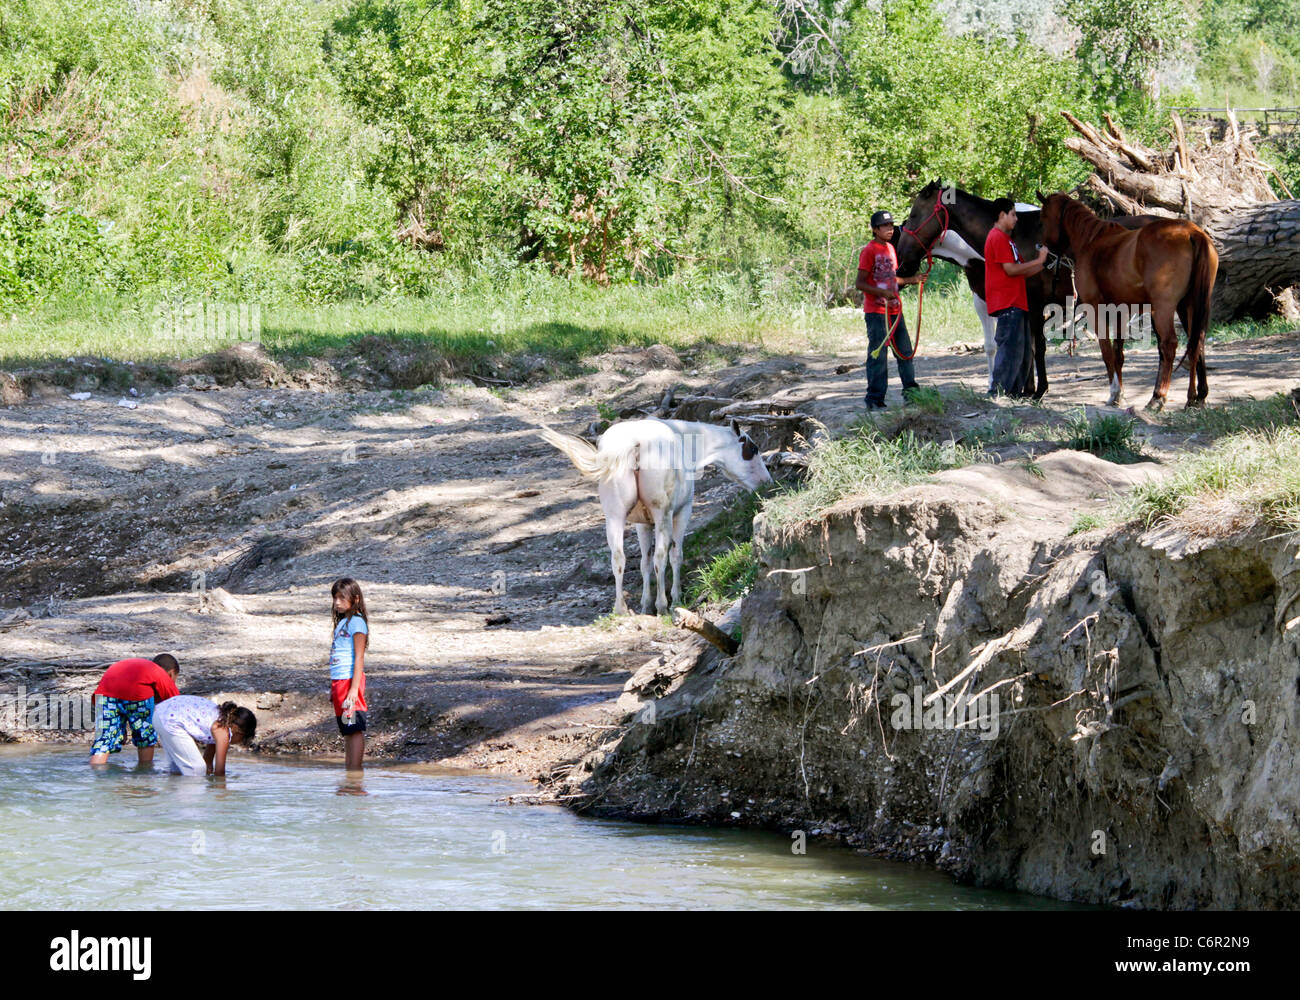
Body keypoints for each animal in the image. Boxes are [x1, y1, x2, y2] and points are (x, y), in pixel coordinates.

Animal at [538, 416, 769, 616]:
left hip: (615, 517)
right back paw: (663, 605)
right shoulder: (682, 512)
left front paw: (644, 604)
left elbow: (644, 563)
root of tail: (635, 444)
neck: (682, 438)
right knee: (661, 556)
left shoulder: (643, 524)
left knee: (618, 557)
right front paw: (674, 599)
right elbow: (675, 556)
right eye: (753, 449)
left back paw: (621, 609)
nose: (767, 481)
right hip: (662, 515)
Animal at [1034, 191, 1216, 410]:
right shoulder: (1120, 311)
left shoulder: (1096, 309)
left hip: (1164, 309)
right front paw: (1120, 394)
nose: (1041, 251)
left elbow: (1106, 352)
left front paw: (1114, 393)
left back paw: (1158, 397)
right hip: (1190, 305)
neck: (1091, 242)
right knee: (1196, 342)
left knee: (1169, 344)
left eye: (1042, 220)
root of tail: (1191, 232)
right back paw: (1193, 398)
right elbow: (1118, 354)